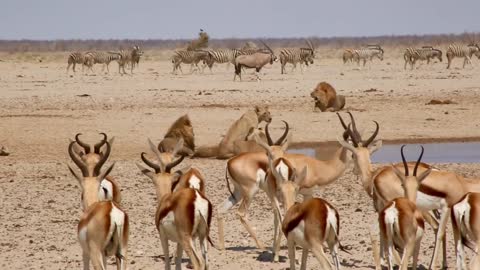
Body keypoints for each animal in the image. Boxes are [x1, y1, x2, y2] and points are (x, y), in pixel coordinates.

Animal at [136, 139, 213, 270]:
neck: (165, 199)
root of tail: (196, 197)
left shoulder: (163, 236)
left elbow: (167, 262)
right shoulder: (179, 242)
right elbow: (177, 261)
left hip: (187, 238)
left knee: (199, 263)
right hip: (202, 235)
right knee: (206, 262)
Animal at [338, 113, 480, 268]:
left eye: (352, 155)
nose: (354, 171)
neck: (373, 176)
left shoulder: (382, 208)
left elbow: (378, 233)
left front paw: (383, 262)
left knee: (437, 228)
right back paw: (444, 264)